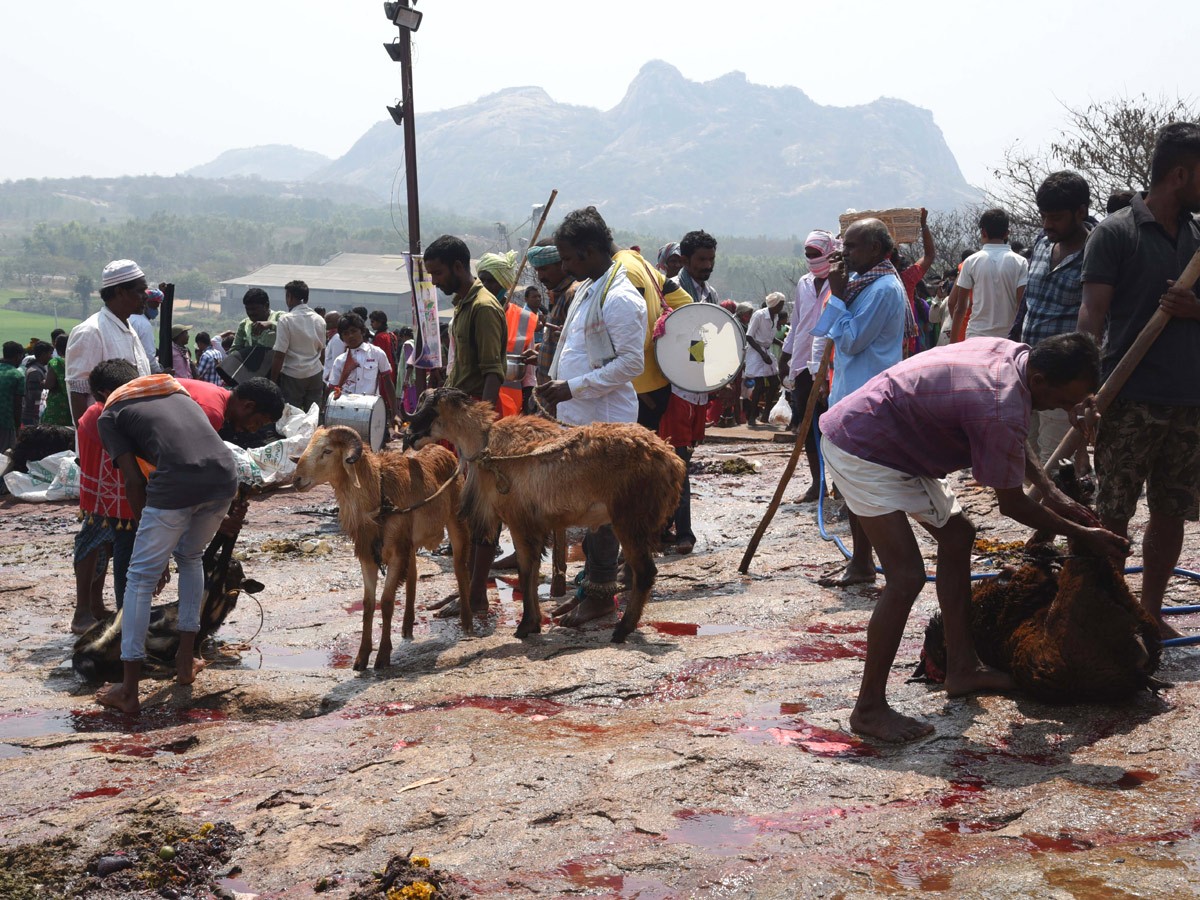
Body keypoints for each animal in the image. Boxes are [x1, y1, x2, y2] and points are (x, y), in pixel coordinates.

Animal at [292, 424, 470, 672]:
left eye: (327, 451)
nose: (296, 479)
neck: (379, 494)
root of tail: (443, 449)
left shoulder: (395, 555)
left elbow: (385, 602)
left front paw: (383, 656)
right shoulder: (368, 557)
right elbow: (368, 605)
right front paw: (361, 658)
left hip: (455, 520)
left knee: (460, 568)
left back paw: (467, 623)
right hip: (409, 543)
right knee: (413, 576)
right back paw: (406, 628)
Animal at [403, 388, 686, 643]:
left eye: (426, 412)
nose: (407, 438)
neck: (487, 446)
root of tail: (672, 460)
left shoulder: (519, 522)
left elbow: (525, 571)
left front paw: (526, 626)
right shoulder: (530, 524)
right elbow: (530, 569)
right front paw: (533, 623)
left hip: (630, 519)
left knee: (645, 572)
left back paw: (621, 630)